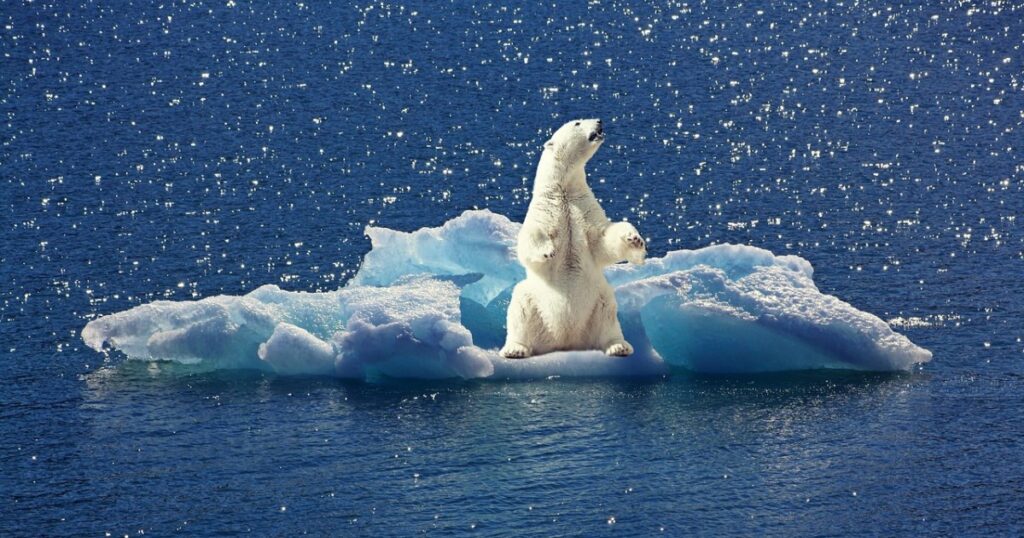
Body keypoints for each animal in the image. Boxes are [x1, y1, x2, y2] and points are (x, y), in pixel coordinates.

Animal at [500, 118, 646, 359]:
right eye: (577, 122)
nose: (599, 121)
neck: (564, 190)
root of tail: (566, 340)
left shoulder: (583, 208)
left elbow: (602, 240)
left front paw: (634, 239)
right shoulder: (545, 210)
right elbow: (530, 238)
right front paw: (547, 250)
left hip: (598, 300)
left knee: (608, 314)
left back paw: (618, 346)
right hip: (534, 301)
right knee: (520, 306)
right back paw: (515, 349)